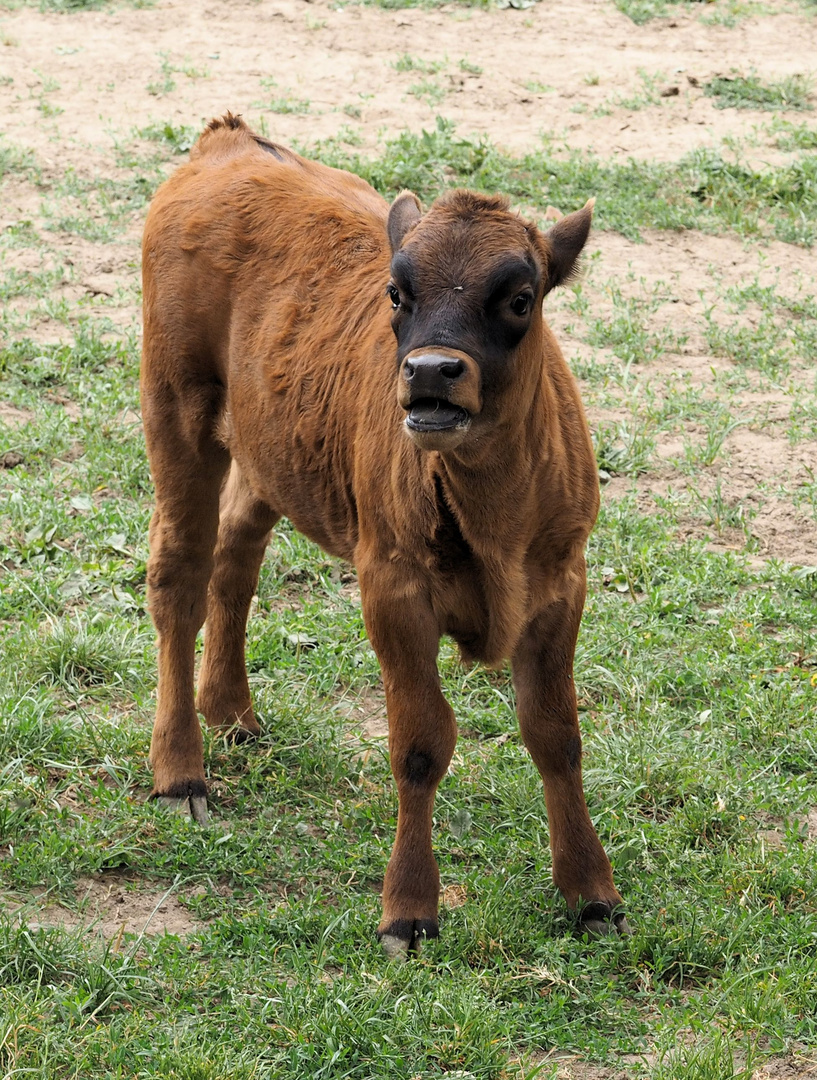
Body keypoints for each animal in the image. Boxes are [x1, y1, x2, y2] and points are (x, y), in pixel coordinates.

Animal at [140, 111, 626, 954]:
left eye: (520, 297)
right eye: (396, 293)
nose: (431, 372)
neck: (491, 508)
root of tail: (228, 142)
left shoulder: (560, 586)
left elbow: (555, 735)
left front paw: (591, 894)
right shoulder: (393, 590)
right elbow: (421, 742)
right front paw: (408, 910)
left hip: (268, 452)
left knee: (235, 556)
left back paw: (231, 712)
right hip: (177, 418)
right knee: (179, 579)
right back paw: (181, 773)